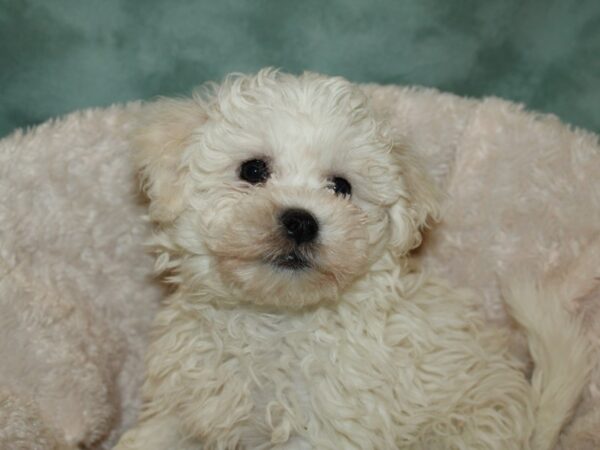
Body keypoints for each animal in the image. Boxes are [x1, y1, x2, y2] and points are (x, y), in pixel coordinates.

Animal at [116, 68, 592, 448]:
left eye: (341, 187)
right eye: (252, 170)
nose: (301, 221)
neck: (274, 319)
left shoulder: (328, 427)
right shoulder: (183, 405)